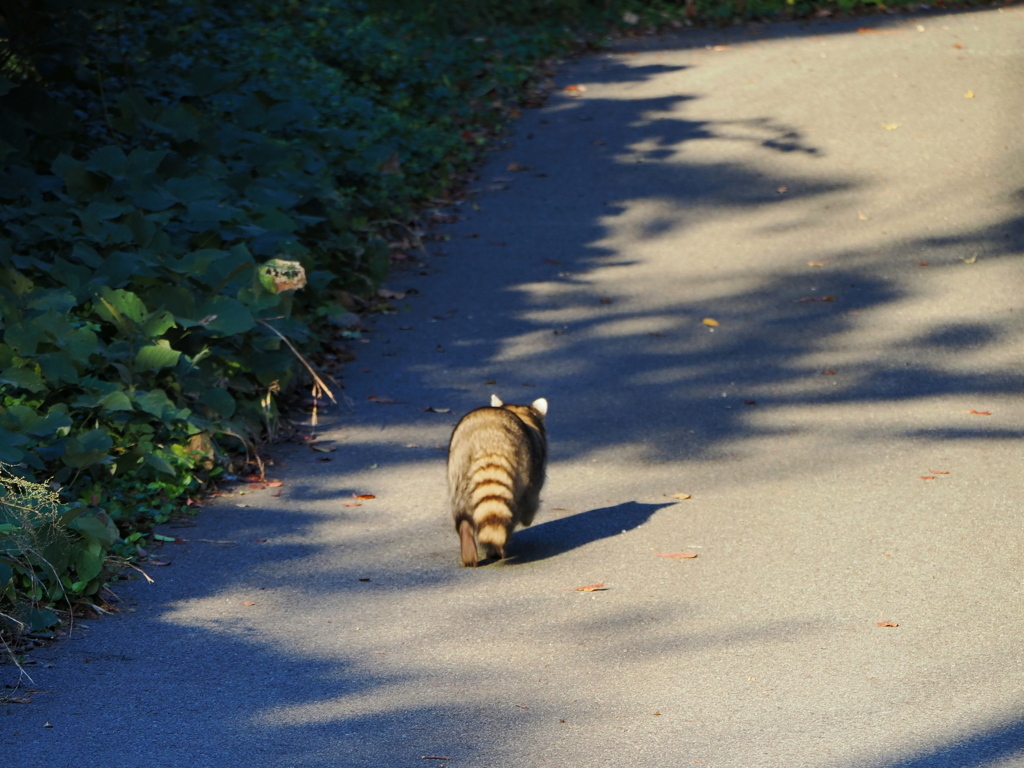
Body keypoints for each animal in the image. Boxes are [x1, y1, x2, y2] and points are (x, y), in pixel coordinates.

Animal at [446, 397, 548, 565]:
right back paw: (497, 548)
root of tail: (489, 439)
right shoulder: (536, 469)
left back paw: (466, 538)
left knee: (462, 514)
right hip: (520, 472)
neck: (518, 412)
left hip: (457, 470)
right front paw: (528, 519)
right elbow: (531, 500)